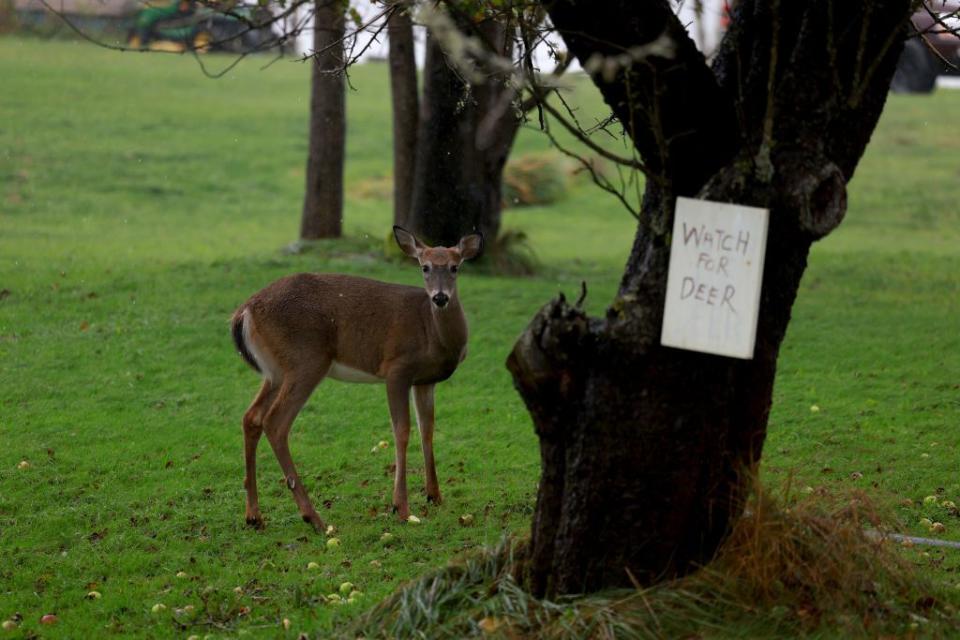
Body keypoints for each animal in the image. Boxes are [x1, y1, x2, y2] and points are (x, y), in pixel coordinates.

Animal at [226, 225, 480, 528]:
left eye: (455, 267)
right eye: (424, 267)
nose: (440, 297)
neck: (433, 335)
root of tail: (244, 311)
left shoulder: (425, 380)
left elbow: (427, 429)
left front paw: (434, 495)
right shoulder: (396, 368)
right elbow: (401, 431)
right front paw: (401, 507)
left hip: (276, 370)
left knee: (251, 417)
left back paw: (254, 515)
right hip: (307, 359)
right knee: (275, 422)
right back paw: (313, 517)